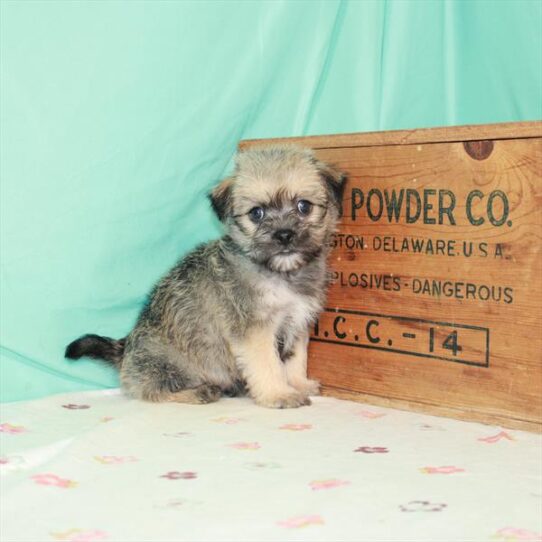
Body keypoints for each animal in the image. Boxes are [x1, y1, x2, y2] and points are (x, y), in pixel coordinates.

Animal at [66, 144, 346, 408]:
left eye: (303, 206)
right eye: (256, 213)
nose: (284, 235)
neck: (280, 274)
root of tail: (124, 350)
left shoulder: (296, 326)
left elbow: (295, 361)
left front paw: (298, 384)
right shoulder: (255, 330)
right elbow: (268, 364)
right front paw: (279, 394)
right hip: (167, 364)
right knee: (153, 391)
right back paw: (200, 392)